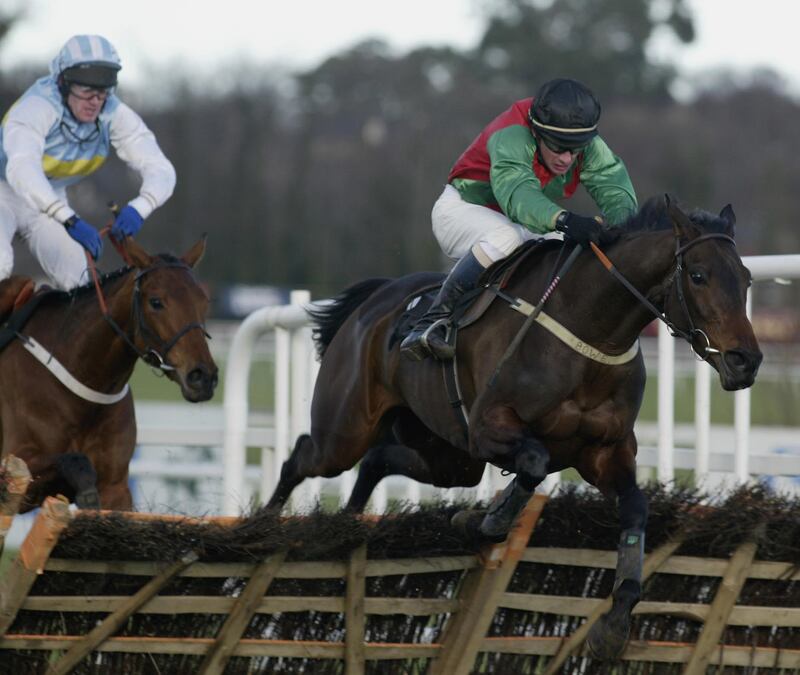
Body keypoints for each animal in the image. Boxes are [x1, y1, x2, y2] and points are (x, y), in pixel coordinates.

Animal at [0, 238, 217, 512]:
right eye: (156, 302)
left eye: (204, 301)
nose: (203, 376)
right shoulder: (17, 464)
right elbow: (77, 461)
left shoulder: (116, 487)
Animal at [268, 195, 764, 660]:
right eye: (697, 275)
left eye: (746, 279)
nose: (746, 360)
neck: (590, 331)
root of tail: (377, 297)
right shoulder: (488, 427)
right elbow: (533, 462)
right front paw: (482, 519)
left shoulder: (604, 450)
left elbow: (635, 509)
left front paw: (615, 621)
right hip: (346, 431)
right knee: (302, 457)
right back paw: (269, 524)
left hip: (448, 455)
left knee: (378, 460)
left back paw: (351, 519)